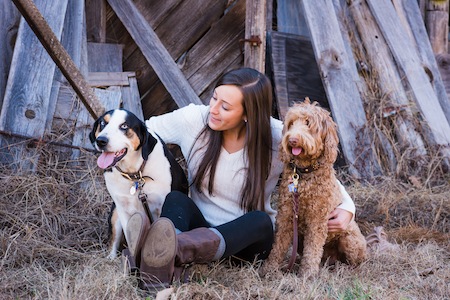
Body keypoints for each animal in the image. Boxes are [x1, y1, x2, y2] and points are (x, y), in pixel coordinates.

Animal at [89, 109, 188, 258]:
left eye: (124, 126)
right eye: (102, 123)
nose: (101, 141)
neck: (134, 174)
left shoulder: (161, 207)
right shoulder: (123, 209)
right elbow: (131, 240)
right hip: (114, 213)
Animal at [262, 99, 368, 278]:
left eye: (308, 123)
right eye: (291, 123)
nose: (292, 140)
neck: (303, 175)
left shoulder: (317, 220)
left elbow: (312, 249)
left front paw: (308, 273)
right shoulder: (286, 215)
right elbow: (279, 245)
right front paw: (270, 268)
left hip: (350, 240)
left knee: (356, 260)